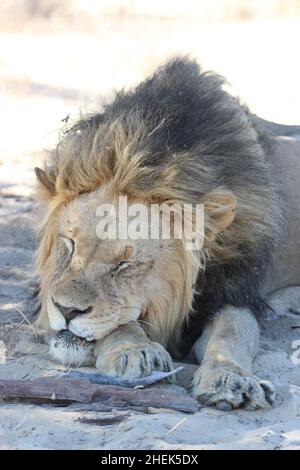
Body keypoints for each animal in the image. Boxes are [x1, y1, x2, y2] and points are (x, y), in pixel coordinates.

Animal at [34, 57, 300, 412]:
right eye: (70, 243)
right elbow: (121, 323)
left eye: (125, 265)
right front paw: (135, 351)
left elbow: (234, 331)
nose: (66, 311)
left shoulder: (233, 290)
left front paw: (230, 379)